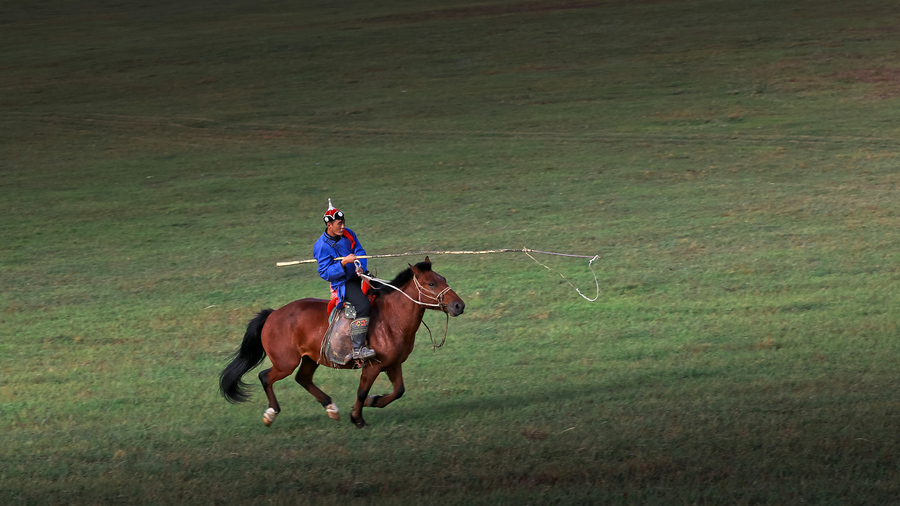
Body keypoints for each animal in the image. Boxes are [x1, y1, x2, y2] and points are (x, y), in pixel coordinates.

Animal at [217, 258, 464, 428]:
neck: (391, 318)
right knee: (265, 377)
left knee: (303, 378)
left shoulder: (393, 364)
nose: (459, 306)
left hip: (311, 358)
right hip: (285, 363)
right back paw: (271, 413)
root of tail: (272, 314)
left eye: (443, 280)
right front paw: (357, 418)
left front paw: (374, 401)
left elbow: (398, 391)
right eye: (431, 283)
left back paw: (330, 407)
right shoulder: (372, 366)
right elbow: (362, 392)